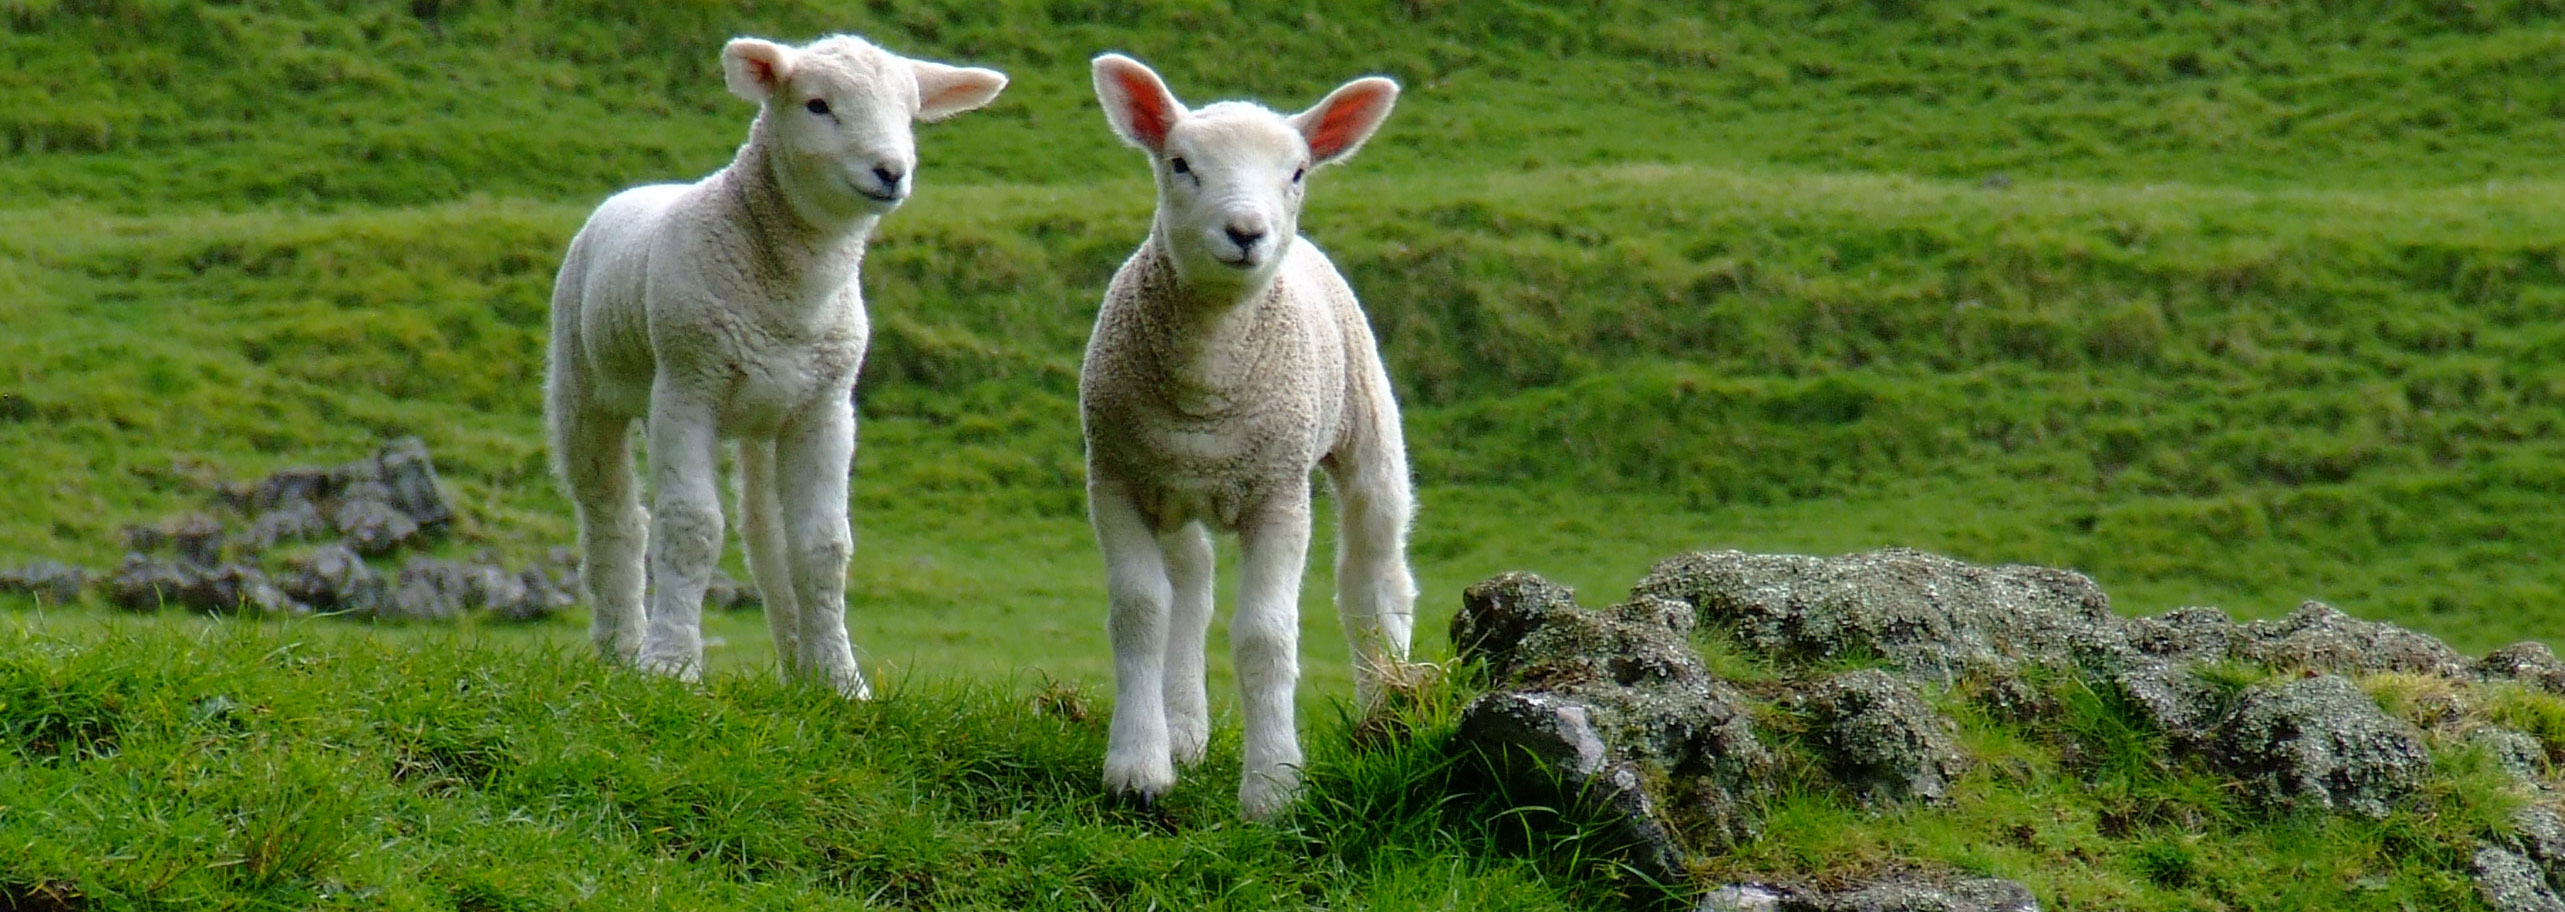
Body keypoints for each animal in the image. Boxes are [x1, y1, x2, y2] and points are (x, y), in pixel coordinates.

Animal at [546, 35, 1006, 698]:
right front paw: (671, 666)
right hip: (582, 388)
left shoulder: (825, 409)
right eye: (817, 104)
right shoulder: (686, 388)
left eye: (910, 113)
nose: (891, 171)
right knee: (614, 519)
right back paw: (622, 651)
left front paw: (840, 681)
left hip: (766, 416)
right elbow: (691, 528)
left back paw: (798, 666)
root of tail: (639, 190)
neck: (793, 295)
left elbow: (820, 547)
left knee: (766, 538)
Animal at [1079, 53, 1418, 818]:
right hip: (1174, 488)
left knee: (1373, 581)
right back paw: (1182, 729)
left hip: (1367, 431)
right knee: (1190, 588)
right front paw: (1138, 767)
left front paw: (1273, 789)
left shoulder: (1279, 492)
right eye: (1180, 163)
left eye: (1296, 172)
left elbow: (1265, 636)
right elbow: (1141, 613)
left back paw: (1387, 714)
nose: (1245, 232)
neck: (1207, 383)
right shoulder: (1114, 477)